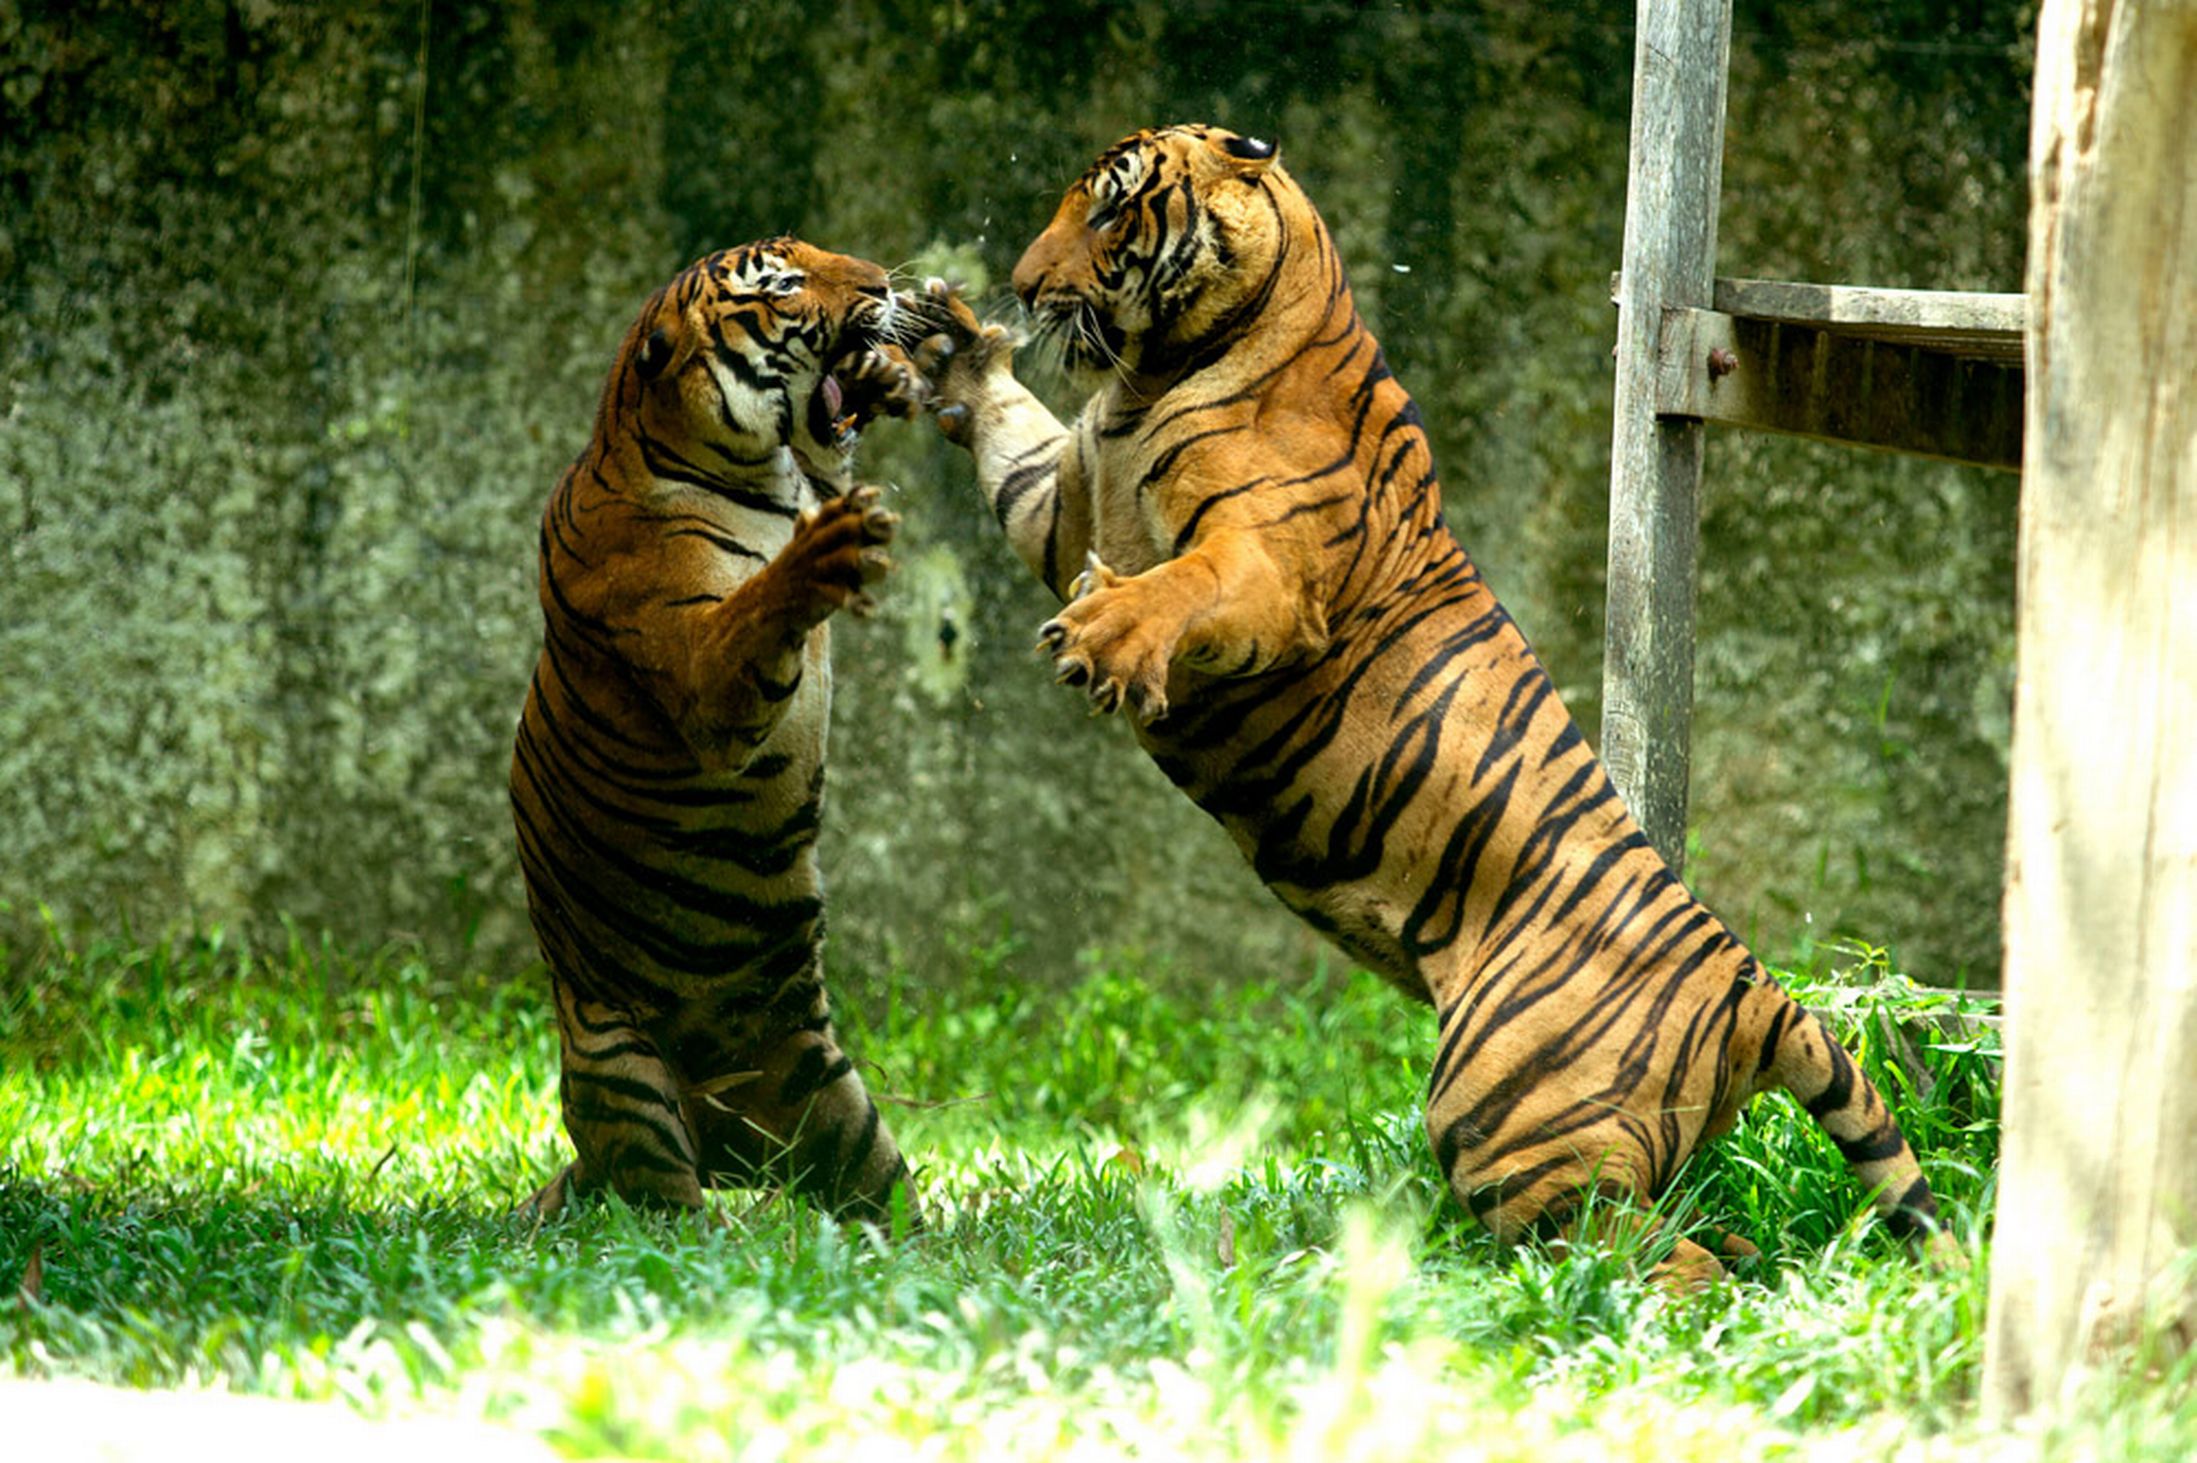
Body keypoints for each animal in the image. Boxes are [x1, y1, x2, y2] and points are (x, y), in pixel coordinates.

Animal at [510, 238, 920, 1228]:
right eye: (783, 284)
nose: (881, 282)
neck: (759, 480)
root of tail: (727, 1134)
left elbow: (831, 459)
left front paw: (883, 376)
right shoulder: (700, 674)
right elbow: (754, 613)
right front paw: (822, 553)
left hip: (843, 1113)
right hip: (620, 1068)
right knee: (660, 1205)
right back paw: (721, 1233)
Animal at [907, 124, 1952, 1281]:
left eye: (1107, 209)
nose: (1021, 283)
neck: (1158, 369)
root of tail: (1752, 985)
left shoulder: (1270, 572)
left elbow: (1187, 584)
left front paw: (1104, 636)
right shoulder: (1056, 504)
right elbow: (1011, 443)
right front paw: (955, 351)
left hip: (1504, 1112)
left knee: (1659, 1264)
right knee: (1703, 1238)